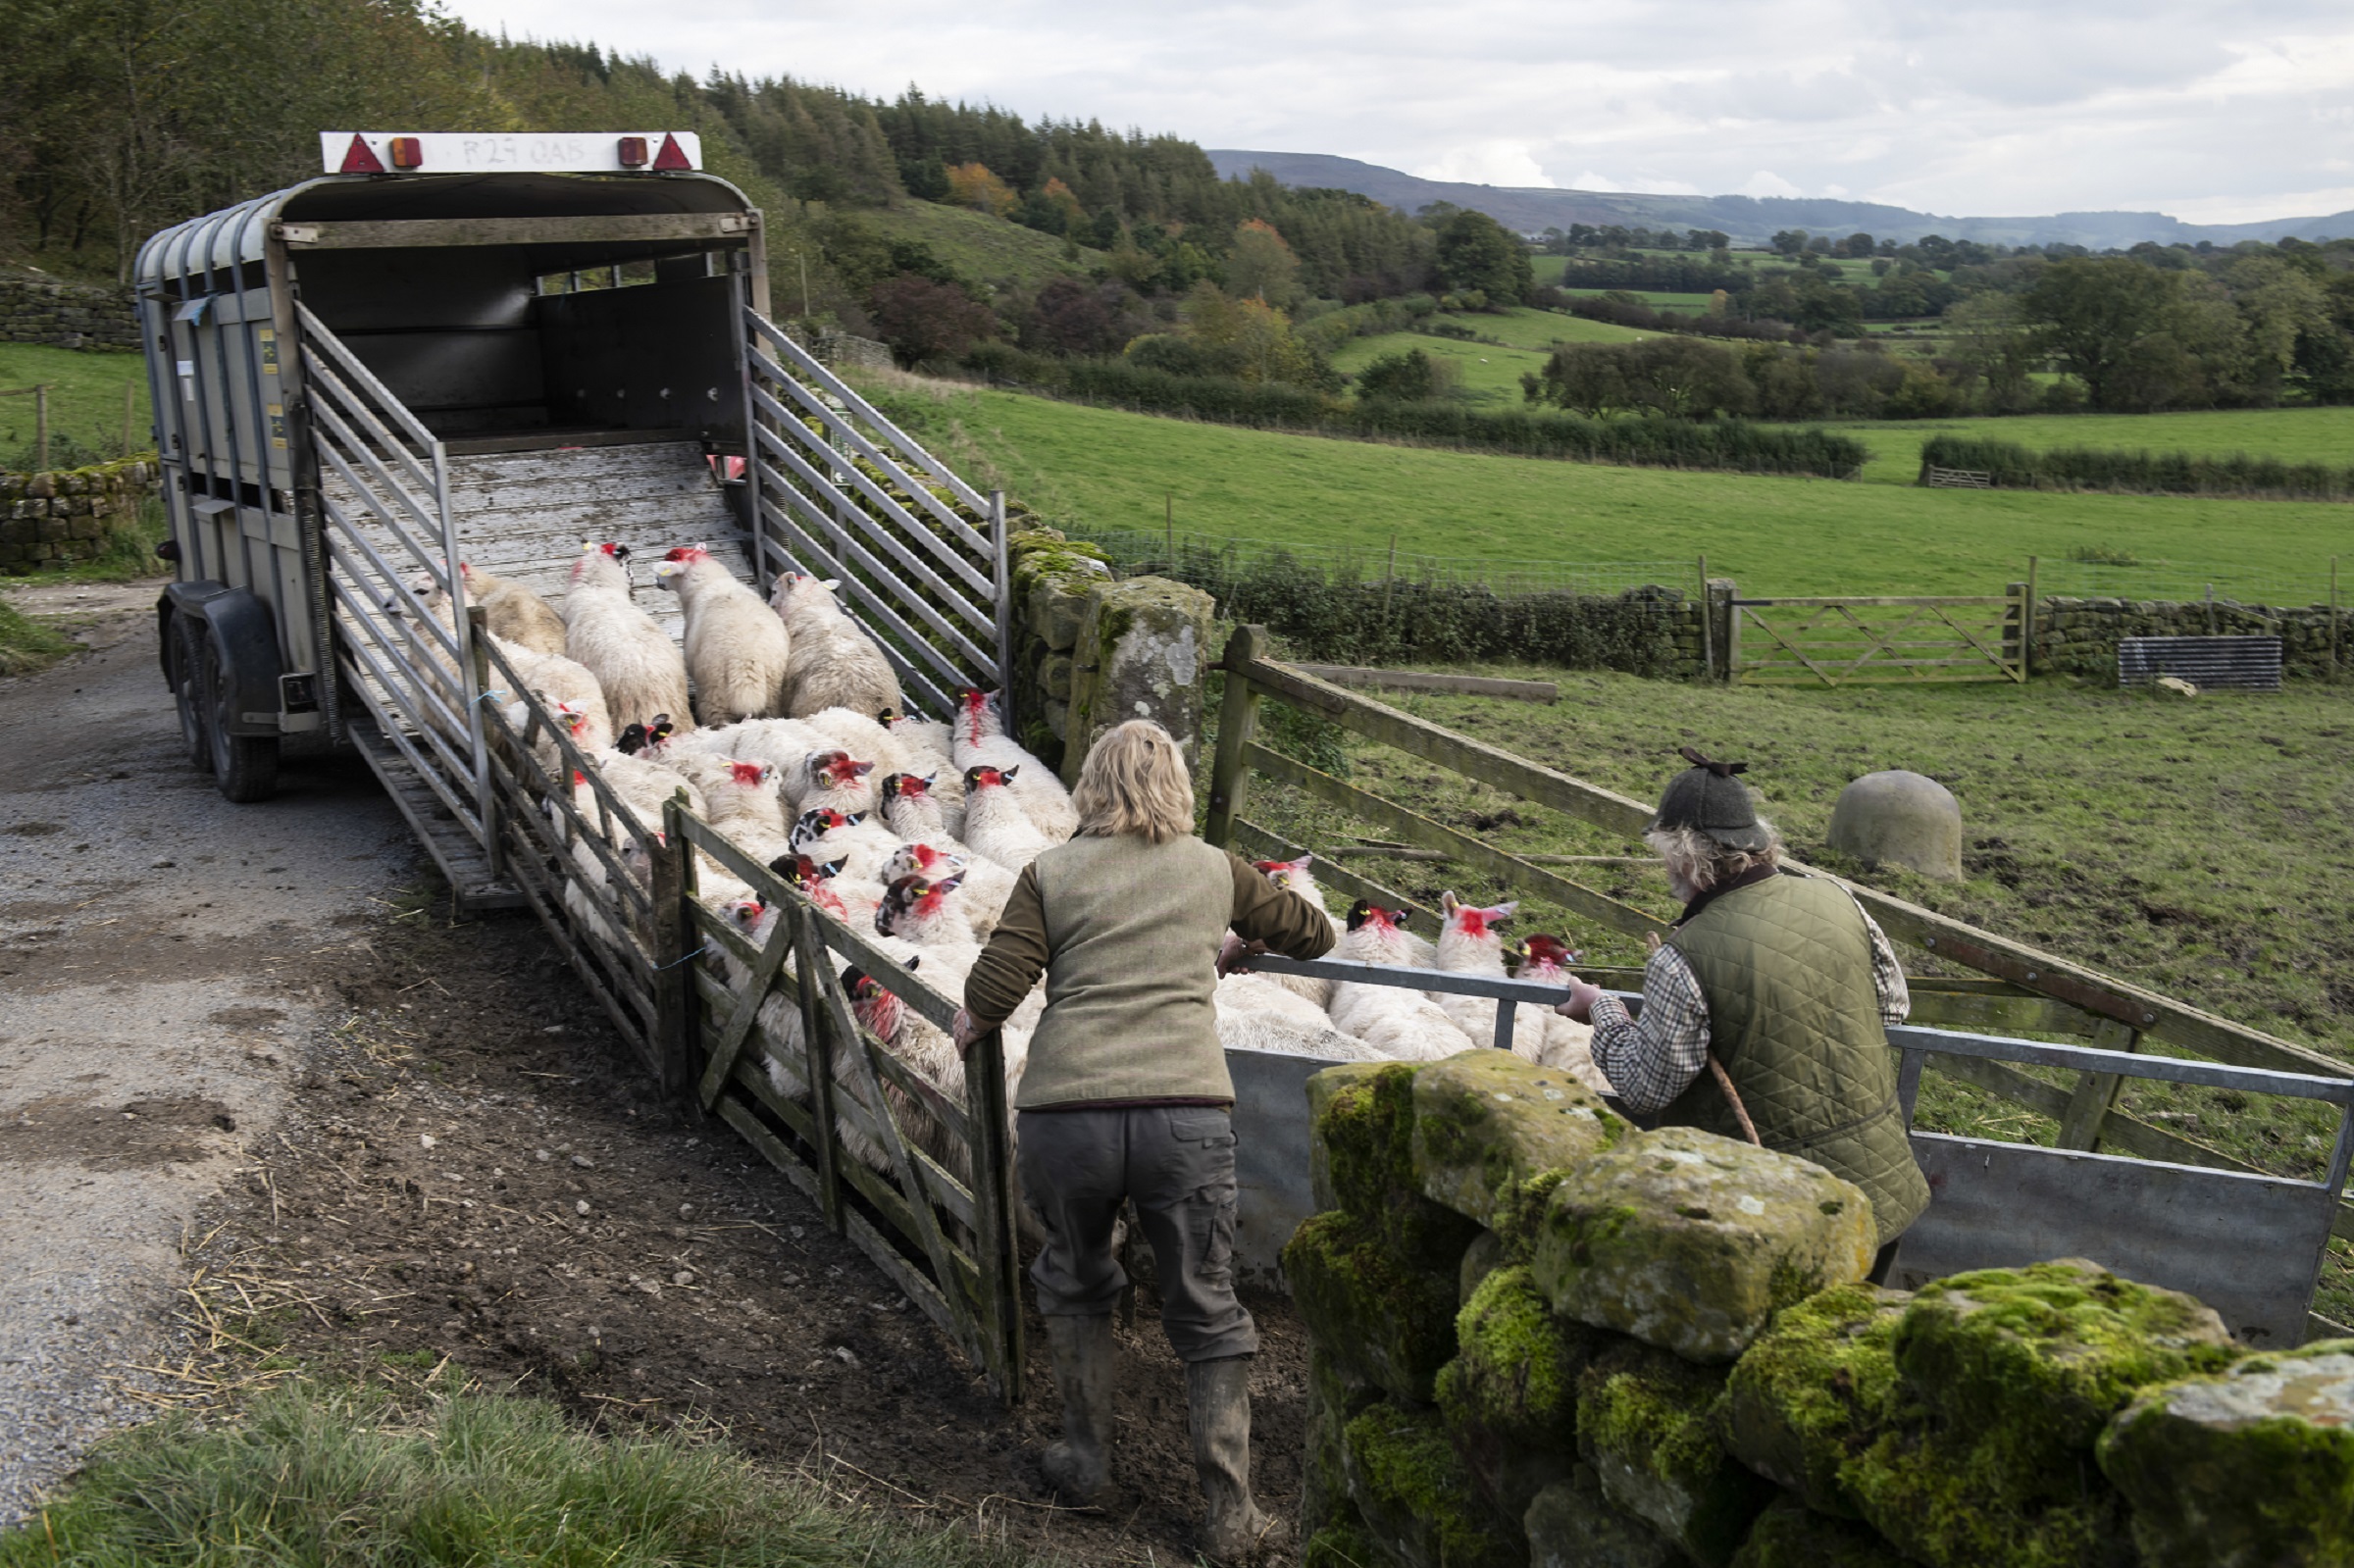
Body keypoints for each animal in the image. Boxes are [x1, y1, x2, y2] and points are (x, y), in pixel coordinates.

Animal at [659, 546, 795, 725]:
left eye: (667, 565)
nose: (657, 581)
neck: (710, 582)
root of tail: (745, 665)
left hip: (715, 701)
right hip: (772, 699)